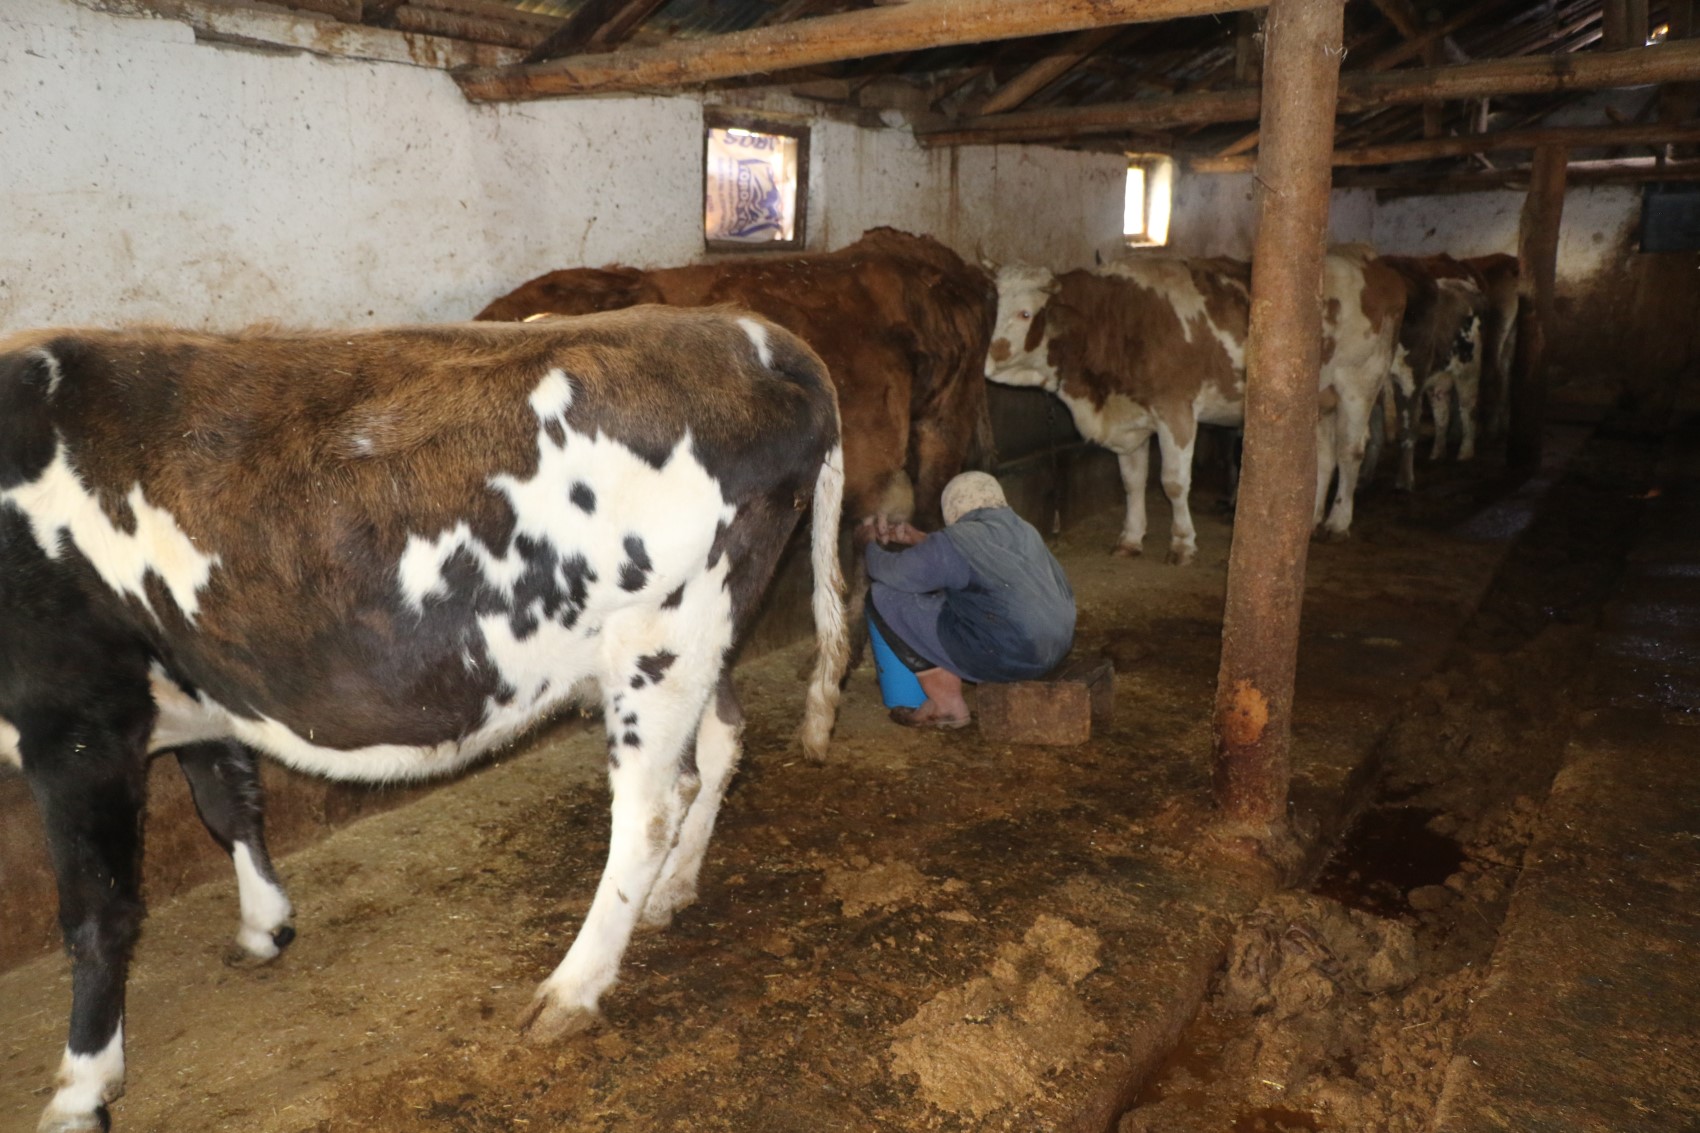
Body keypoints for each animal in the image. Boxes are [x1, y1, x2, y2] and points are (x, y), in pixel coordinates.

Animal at [0, 309, 850, 1129]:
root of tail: (747, 333)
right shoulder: (198, 677)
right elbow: (227, 804)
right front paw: (265, 925)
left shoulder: (74, 717)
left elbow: (97, 911)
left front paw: (82, 1088)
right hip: (702, 632)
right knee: (720, 739)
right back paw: (672, 892)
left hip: (662, 632)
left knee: (652, 806)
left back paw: (572, 988)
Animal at [986, 250, 1407, 561]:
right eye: (995, 309)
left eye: (1026, 313)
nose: (985, 362)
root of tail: (1369, 262)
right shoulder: (1131, 419)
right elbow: (1132, 481)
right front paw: (1130, 538)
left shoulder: (1177, 411)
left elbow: (1173, 482)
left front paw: (1183, 543)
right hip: (1319, 399)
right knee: (1323, 457)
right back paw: (1310, 521)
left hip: (1358, 383)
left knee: (1350, 451)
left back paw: (1337, 523)